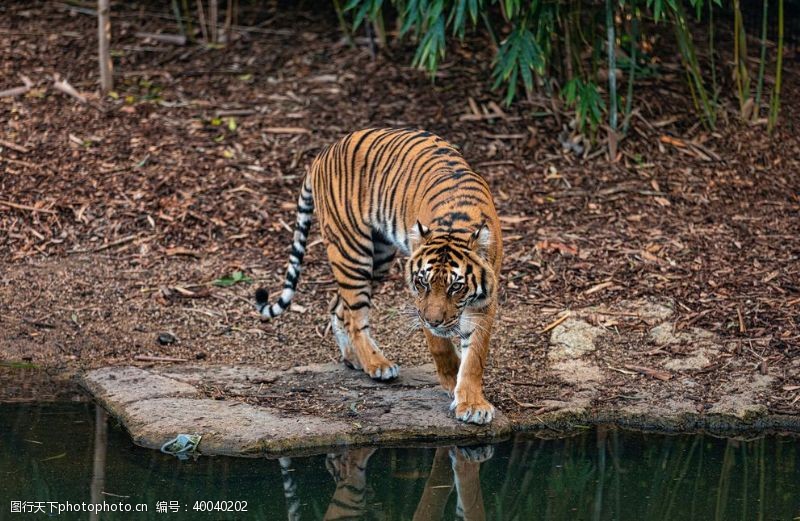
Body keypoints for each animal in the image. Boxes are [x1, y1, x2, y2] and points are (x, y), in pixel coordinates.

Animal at [256, 126, 504, 422]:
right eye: (423, 283)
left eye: (456, 287)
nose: (433, 321)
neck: (455, 225)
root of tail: (323, 152)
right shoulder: (420, 301)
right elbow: (440, 346)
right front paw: (451, 379)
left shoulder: (484, 301)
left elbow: (475, 356)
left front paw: (472, 403)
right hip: (352, 251)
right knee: (355, 316)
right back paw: (377, 364)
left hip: (380, 256)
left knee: (338, 306)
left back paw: (354, 359)